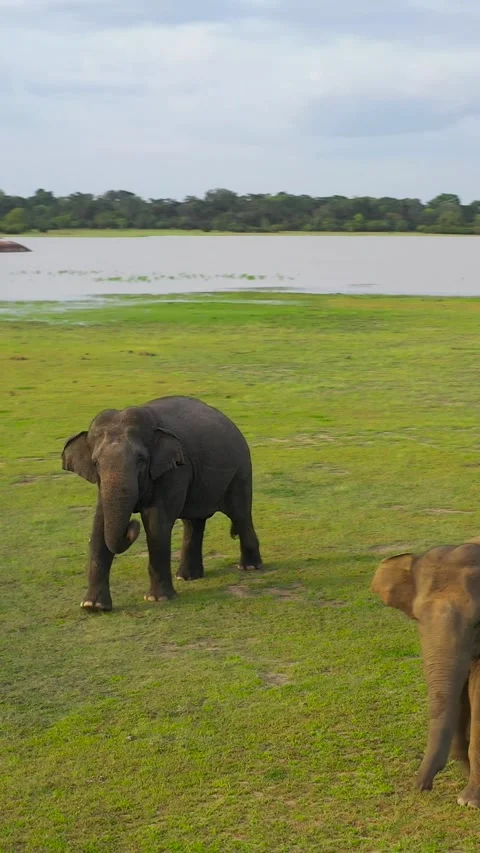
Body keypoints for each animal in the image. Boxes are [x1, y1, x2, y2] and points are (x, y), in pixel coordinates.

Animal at [62, 395, 262, 611]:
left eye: (141, 460)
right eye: (96, 463)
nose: (132, 524)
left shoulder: (175, 470)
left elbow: (156, 523)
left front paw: (158, 599)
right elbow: (99, 525)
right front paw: (92, 606)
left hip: (241, 470)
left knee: (240, 513)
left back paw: (250, 567)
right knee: (194, 523)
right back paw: (187, 577)